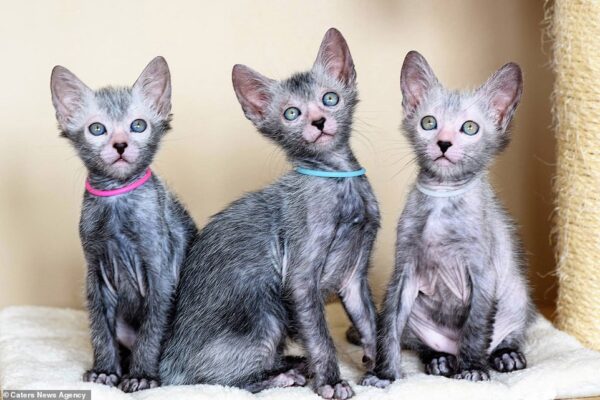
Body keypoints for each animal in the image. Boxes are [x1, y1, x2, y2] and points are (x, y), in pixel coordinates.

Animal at [159, 28, 380, 400]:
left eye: (330, 99)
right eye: (291, 114)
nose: (318, 121)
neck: (339, 180)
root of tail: (166, 359)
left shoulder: (354, 275)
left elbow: (371, 321)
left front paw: (381, 368)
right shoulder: (300, 280)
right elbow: (320, 337)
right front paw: (331, 381)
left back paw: (294, 364)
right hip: (265, 309)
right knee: (219, 380)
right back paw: (284, 375)